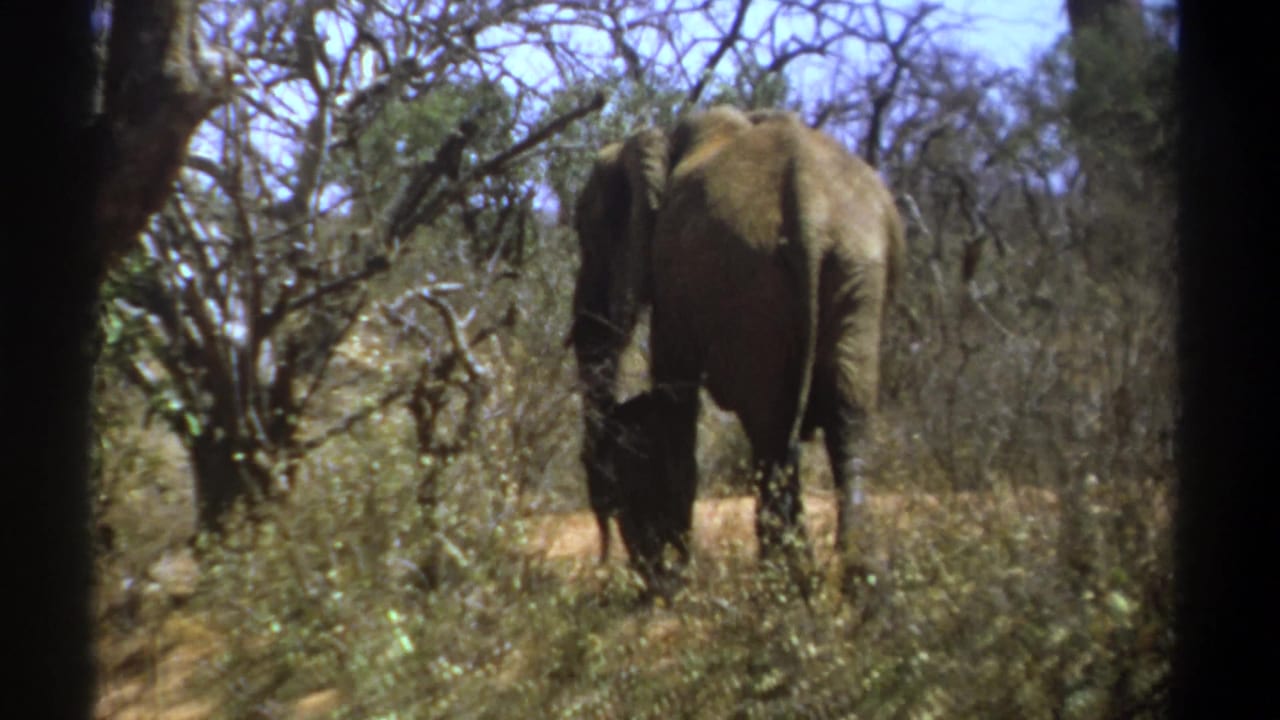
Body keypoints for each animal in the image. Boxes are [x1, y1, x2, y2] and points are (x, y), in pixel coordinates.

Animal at [568, 105, 905, 591]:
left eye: (585, 236)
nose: (607, 550)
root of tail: (812, 208)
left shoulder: (674, 283)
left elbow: (674, 402)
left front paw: (674, 580)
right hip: (856, 268)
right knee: (846, 418)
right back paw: (854, 585)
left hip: (750, 279)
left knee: (771, 430)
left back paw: (783, 587)